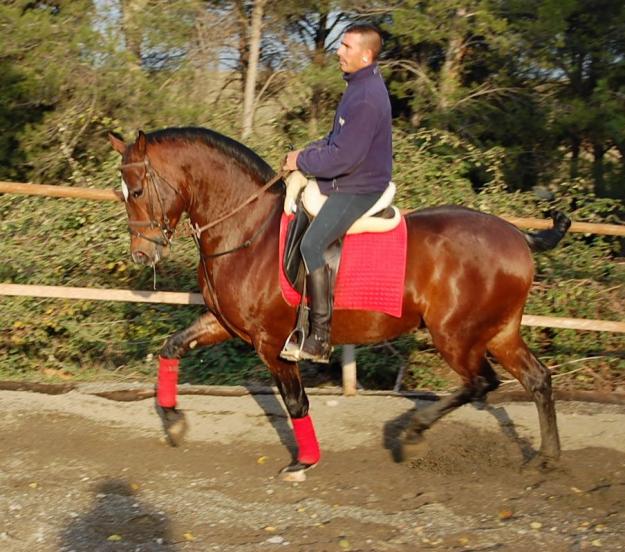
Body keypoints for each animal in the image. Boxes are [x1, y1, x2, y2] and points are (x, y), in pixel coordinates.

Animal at [108, 125, 572, 478]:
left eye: (137, 190)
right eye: (123, 193)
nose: (141, 255)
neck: (248, 231)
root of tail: (518, 236)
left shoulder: (272, 343)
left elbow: (296, 402)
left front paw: (304, 462)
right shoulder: (225, 323)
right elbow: (171, 346)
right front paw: (173, 422)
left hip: (457, 336)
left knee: (482, 383)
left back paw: (414, 434)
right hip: (499, 332)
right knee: (537, 379)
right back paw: (547, 458)